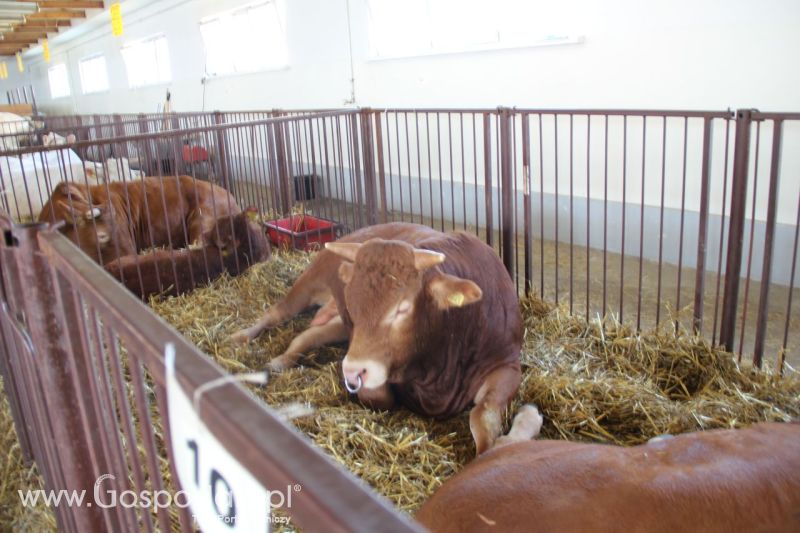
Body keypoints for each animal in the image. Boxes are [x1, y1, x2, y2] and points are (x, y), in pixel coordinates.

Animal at [230, 222, 524, 456]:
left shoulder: (507, 364)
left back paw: (282, 359)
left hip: (336, 325)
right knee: (275, 313)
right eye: (352, 305)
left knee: (309, 334)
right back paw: (242, 337)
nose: (352, 370)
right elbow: (382, 398)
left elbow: (482, 415)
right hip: (309, 283)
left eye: (402, 308)